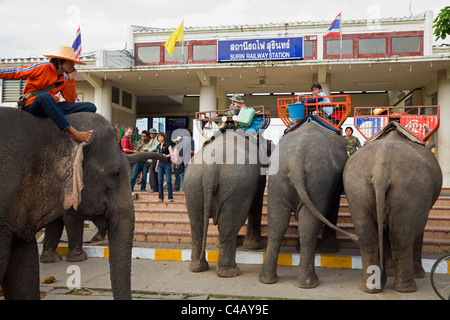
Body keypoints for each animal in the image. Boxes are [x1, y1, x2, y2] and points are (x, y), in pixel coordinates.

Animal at [185, 127, 272, 278]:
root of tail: (211, 168)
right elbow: (257, 200)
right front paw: (254, 247)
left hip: (193, 184)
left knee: (197, 224)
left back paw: (197, 267)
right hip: (234, 186)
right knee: (229, 225)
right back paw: (231, 272)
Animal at [258, 121, 360, 288]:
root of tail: (297, 159)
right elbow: (333, 206)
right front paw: (330, 249)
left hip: (279, 177)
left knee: (277, 223)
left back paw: (267, 280)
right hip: (318, 180)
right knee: (309, 225)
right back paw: (310, 282)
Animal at [342, 122, 442, 292]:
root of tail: (380, 169)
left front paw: (388, 273)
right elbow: (417, 230)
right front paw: (418, 274)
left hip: (356, 187)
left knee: (368, 237)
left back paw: (371, 287)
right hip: (411, 188)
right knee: (402, 237)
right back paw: (407, 288)